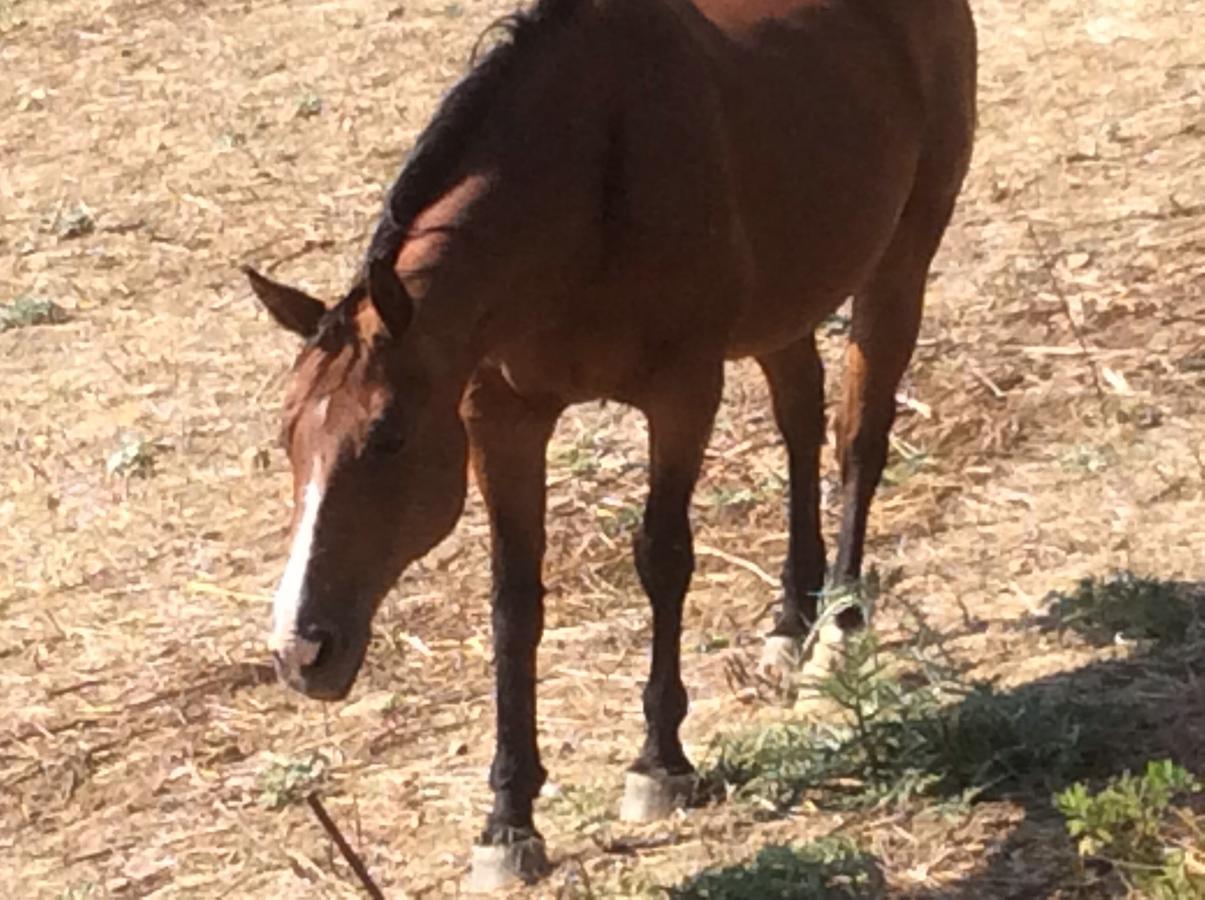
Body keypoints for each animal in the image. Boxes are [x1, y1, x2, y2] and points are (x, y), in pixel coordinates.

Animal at [247, 0, 978, 886]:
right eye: (287, 439)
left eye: (387, 437)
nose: (300, 651)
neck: (591, 186)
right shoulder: (501, 418)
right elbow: (513, 604)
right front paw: (507, 820)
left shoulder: (681, 391)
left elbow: (662, 559)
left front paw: (659, 762)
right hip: (785, 301)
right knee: (800, 420)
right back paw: (786, 623)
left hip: (901, 257)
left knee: (856, 442)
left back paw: (835, 631)